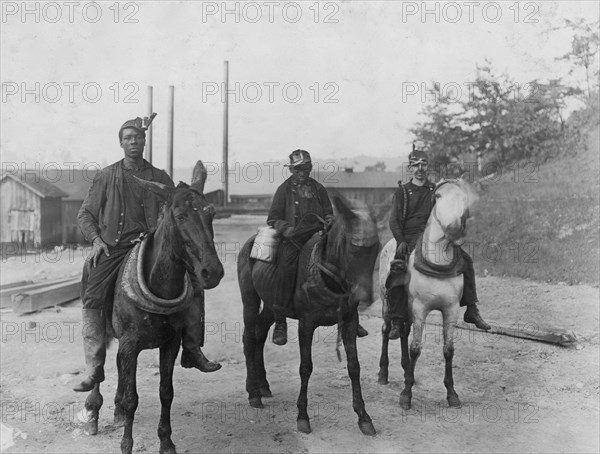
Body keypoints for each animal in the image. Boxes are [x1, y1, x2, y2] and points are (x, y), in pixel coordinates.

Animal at [78, 162, 221, 454]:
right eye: (180, 216)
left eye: (211, 213)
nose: (212, 272)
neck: (159, 285)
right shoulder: (130, 345)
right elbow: (133, 398)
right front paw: (126, 445)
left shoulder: (170, 343)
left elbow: (166, 393)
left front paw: (166, 442)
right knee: (98, 364)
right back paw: (93, 408)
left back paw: (117, 412)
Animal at [237, 197, 378, 434]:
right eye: (353, 249)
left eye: (376, 249)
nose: (365, 297)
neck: (328, 278)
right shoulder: (306, 323)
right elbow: (306, 368)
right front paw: (302, 416)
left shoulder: (350, 320)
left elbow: (354, 366)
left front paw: (363, 417)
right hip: (250, 299)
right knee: (249, 338)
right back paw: (253, 393)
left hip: (270, 304)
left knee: (259, 335)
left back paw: (263, 385)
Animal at [378, 179, 476, 410]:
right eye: (438, 196)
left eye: (464, 198)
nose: (454, 230)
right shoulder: (420, 308)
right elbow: (416, 348)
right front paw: (406, 395)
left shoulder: (450, 310)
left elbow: (448, 349)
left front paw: (452, 394)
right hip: (387, 302)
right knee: (386, 331)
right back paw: (383, 373)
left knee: (403, 331)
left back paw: (406, 370)